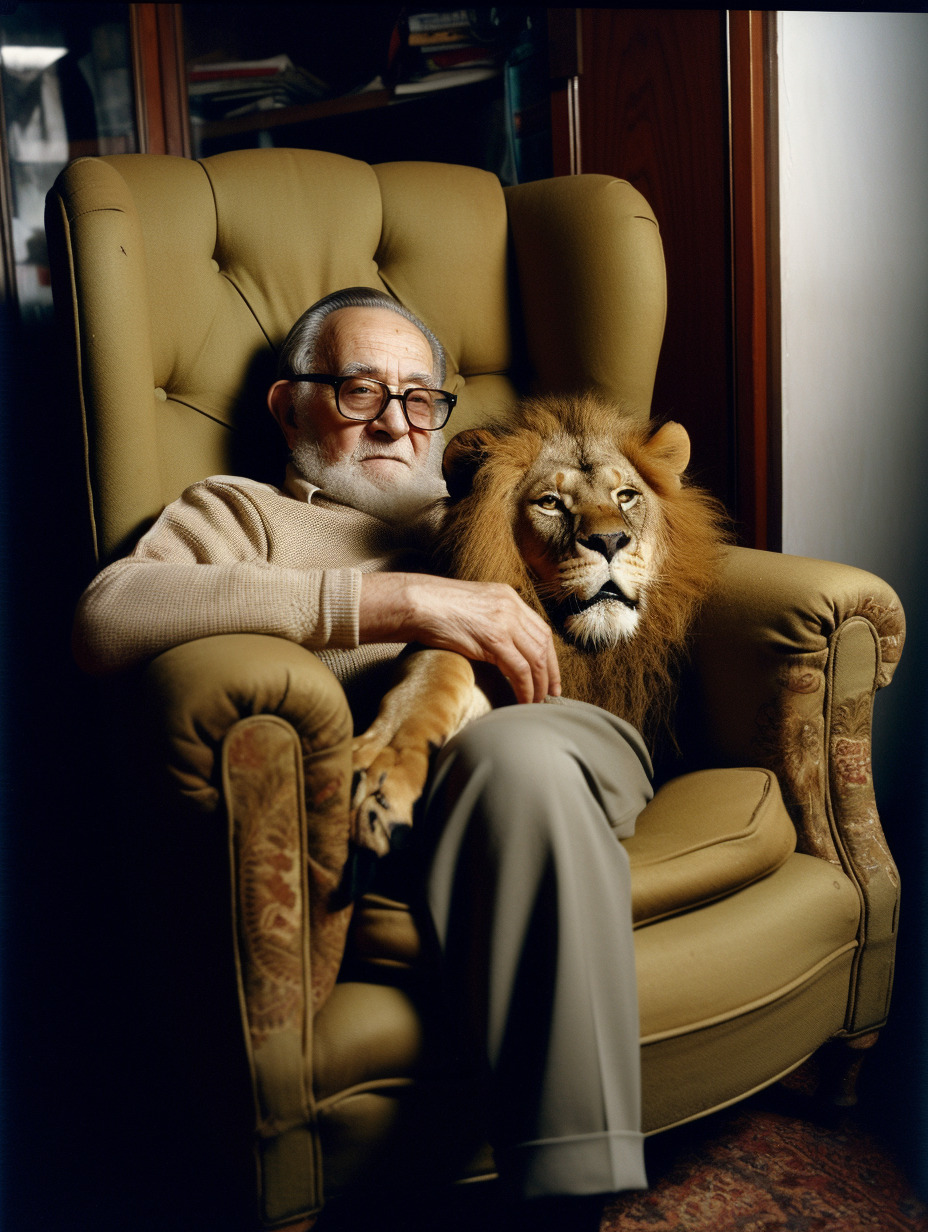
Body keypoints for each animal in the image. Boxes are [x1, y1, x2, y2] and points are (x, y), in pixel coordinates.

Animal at [350, 391, 729, 857]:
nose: (609, 541)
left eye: (626, 496)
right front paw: (380, 778)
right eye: (550, 502)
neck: (587, 646)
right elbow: (434, 671)